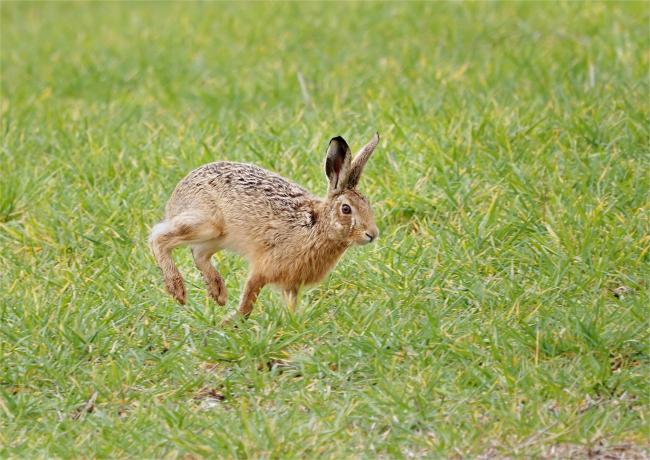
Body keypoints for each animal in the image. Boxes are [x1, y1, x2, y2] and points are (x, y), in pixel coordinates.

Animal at [149, 133, 380, 318]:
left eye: (368, 205)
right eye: (346, 209)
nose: (372, 234)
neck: (317, 226)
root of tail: (179, 192)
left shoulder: (292, 283)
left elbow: (290, 303)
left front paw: (292, 322)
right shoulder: (265, 267)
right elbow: (249, 296)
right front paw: (231, 322)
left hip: (218, 237)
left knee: (198, 254)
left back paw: (218, 292)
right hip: (207, 223)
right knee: (158, 237)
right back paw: (177, 289)